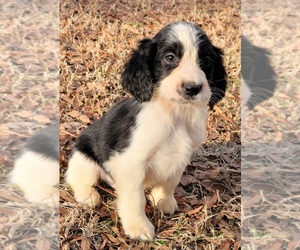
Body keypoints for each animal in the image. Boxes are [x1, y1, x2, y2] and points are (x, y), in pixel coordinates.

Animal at [65, 21, 225, 240]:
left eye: (207, 60)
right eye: (170, 58)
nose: (193, 88)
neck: (174, 114)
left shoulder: (182, 156)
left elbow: (170, 181)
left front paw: (163, 200)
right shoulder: (131, 161)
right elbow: (135, 197)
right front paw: (138, 227)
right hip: (84, 157)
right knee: (74, 178)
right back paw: (88, 195)